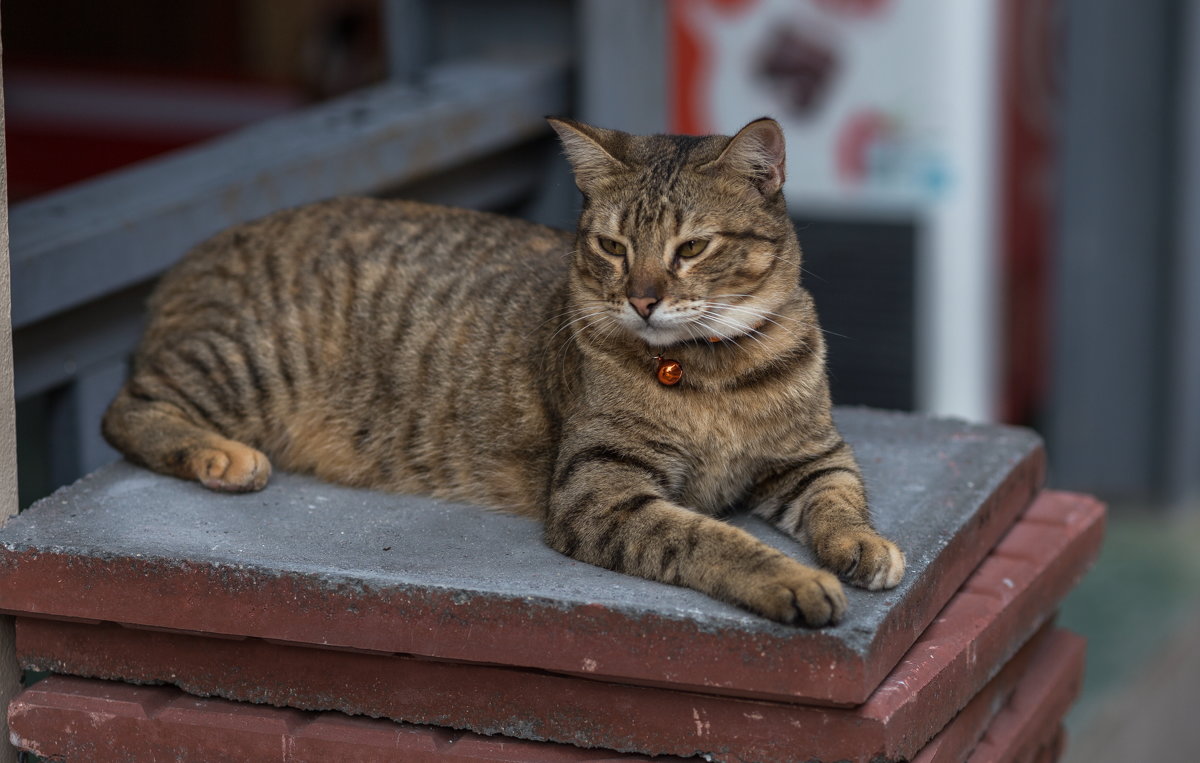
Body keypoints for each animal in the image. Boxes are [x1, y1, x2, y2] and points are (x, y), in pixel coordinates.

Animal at [103, 114, 902, 623]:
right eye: (612, 246)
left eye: (692, 248)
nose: (642, 299)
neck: (715, 374)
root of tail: (192, 255)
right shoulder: (599, 490)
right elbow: (709, 538)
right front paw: (793, 580)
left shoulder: (810, 456)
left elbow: (840, 502)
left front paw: (862, 547)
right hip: (245, 361)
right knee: (126, 408)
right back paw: (220, 455)